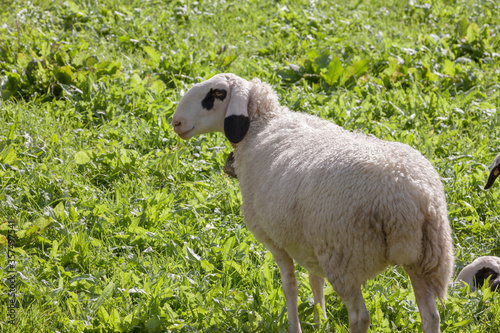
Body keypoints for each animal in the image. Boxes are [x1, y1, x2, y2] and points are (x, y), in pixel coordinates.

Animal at [173, 73, 458, 332]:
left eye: (217, 93)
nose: (176, 122)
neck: (261, 125)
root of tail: (410, 196)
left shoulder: (274, 239)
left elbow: (290, 285)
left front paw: (295, 326)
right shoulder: (309, 243)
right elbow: (314, 280)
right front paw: (320, 321)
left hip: (345, 255)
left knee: (360, 317)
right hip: (425, 257)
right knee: (430, 315)